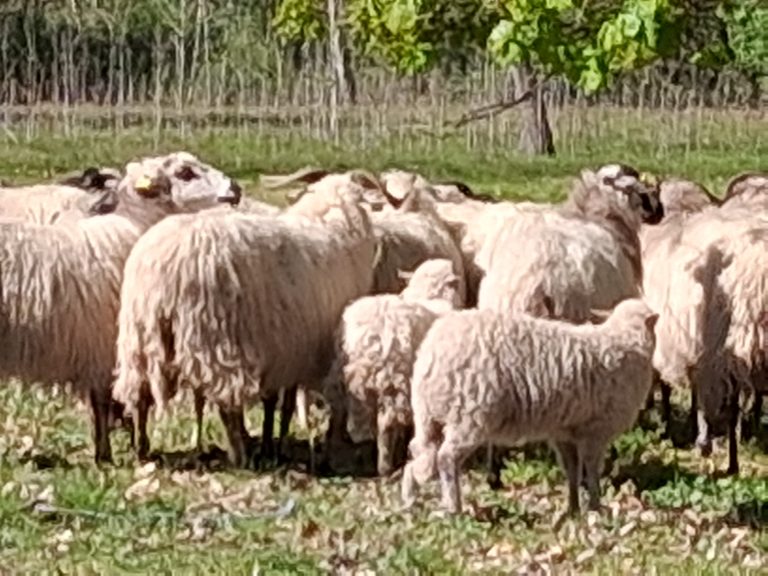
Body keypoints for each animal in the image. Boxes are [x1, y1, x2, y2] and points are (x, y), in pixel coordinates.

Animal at [0, 151, 240, 464]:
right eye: (185, 173)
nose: (236, 189)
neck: (135, 224)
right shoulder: (106, 346)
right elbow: (107, 402)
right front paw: (108, 453)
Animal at [112, 172, 383, 468]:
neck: (333, 219)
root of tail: (165, 266)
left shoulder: (284, 352)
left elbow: (273, 402)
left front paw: (269, 444)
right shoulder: (297, 353)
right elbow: (285, 405)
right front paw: (276, 446)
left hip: (139, 338)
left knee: (139, 395)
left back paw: (141, 449)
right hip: (215, 340)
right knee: (225, 402)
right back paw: (238, 454)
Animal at [324, 258, 464, 476]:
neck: (430, 297)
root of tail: (367, 337)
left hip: (344, 373)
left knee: (340, 413)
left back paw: (338, 457)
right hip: (393, 376)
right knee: (386, 422)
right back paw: (385, 466)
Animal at [401, 298, 658, 515]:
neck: (624, 343)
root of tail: (431, 354)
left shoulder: (565, 432)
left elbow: (572, 470)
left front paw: (573, 509)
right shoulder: (595, 431)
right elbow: (592, 471)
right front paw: (595, 507)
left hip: (429, 416)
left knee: (419, 451)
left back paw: (410, 496)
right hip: (469, 415)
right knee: (446, 458)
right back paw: (454, 507)